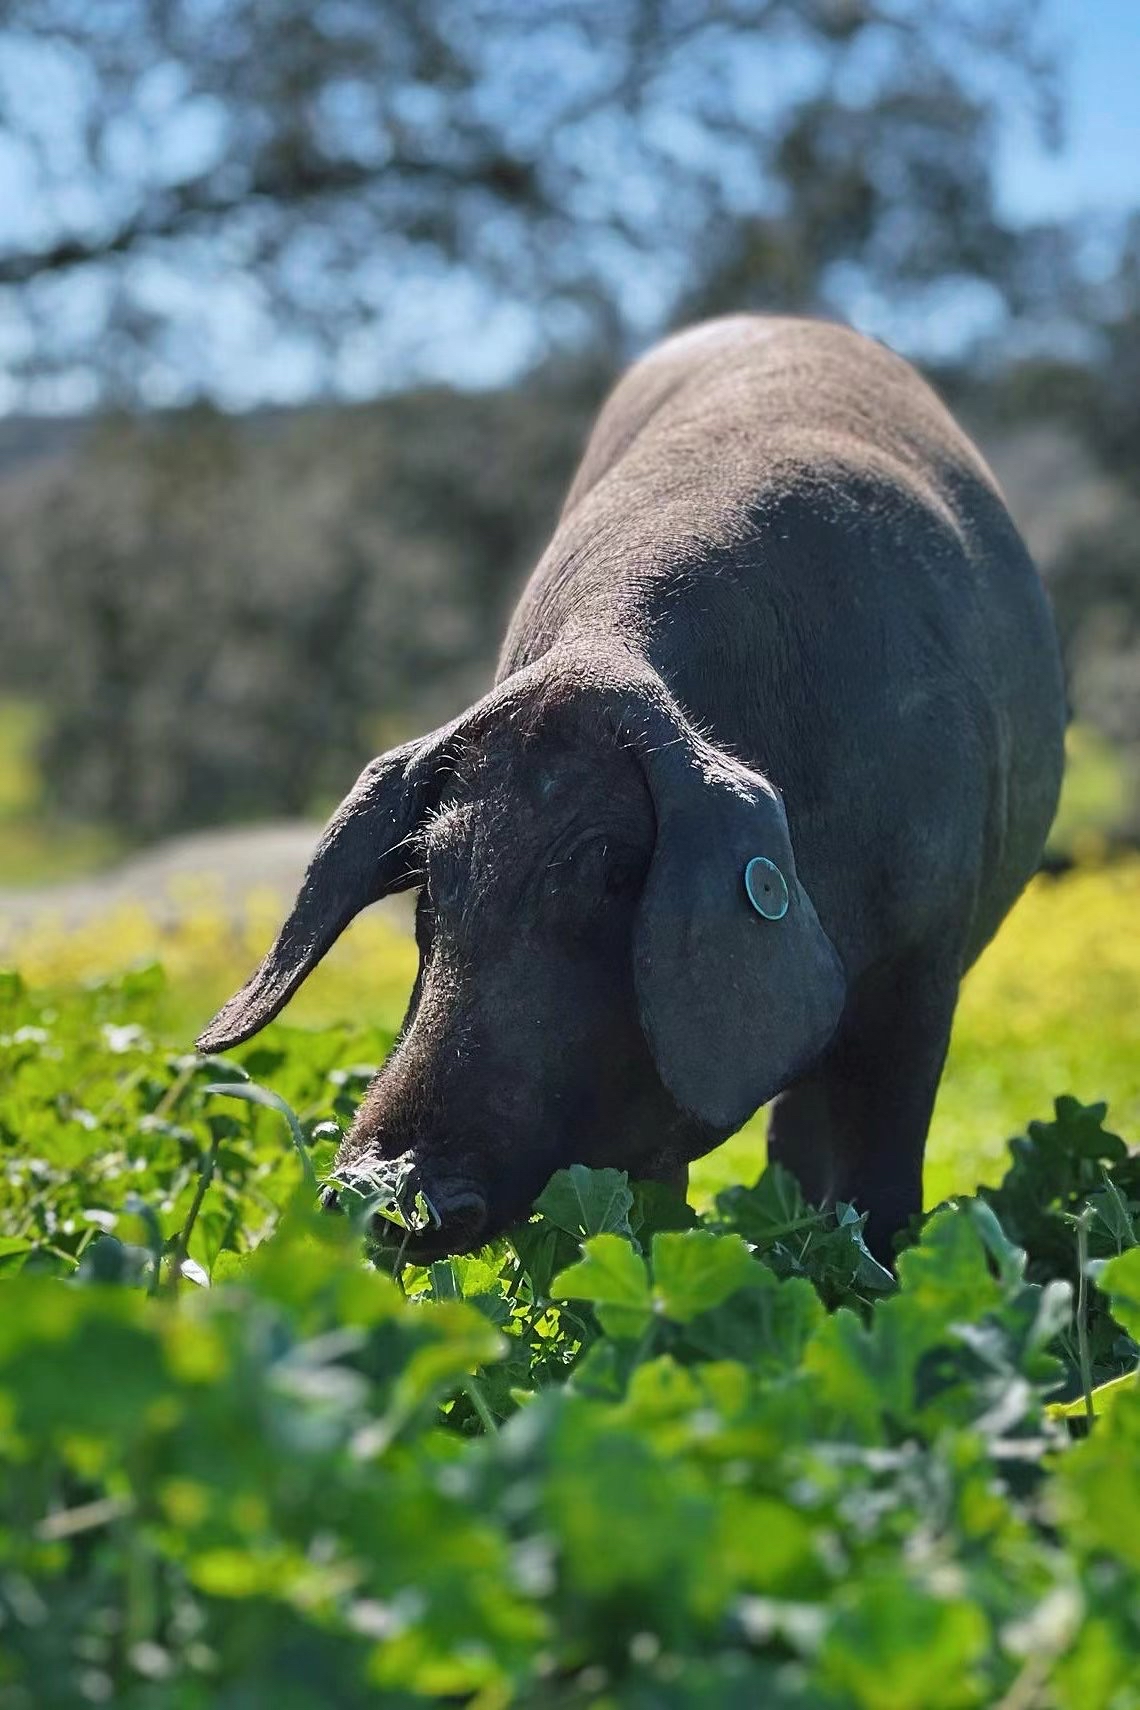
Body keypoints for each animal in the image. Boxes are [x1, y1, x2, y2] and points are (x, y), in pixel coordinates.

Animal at [198, 318, 1073, 1258]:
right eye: (431, 877)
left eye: (617, 871)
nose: (386, 1191)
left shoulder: (927, 956)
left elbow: (887, 1171)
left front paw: (876, 1264)